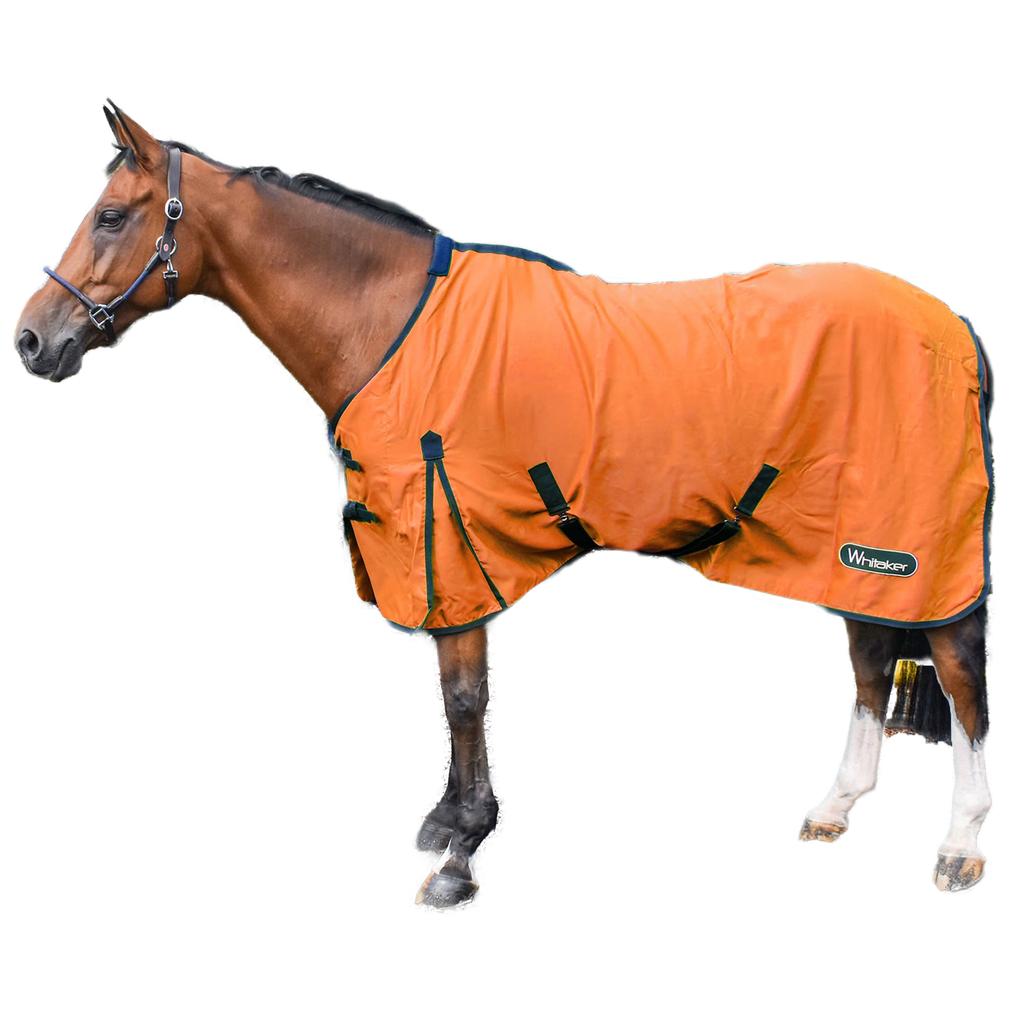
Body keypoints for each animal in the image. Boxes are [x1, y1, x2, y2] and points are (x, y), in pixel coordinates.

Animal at [14, 103, 993, 907]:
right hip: (853, 551)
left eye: (112, 216)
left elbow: (464, 697)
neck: (391, 325)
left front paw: (462, 853)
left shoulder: (447, 541)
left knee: (959, 678)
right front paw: (450, 820)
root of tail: (956, 325)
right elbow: (454, 697)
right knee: (871, 662)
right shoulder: (438, 551)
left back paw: (960, 847)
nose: (30, 340)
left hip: (916, 549)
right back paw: (836, 807)